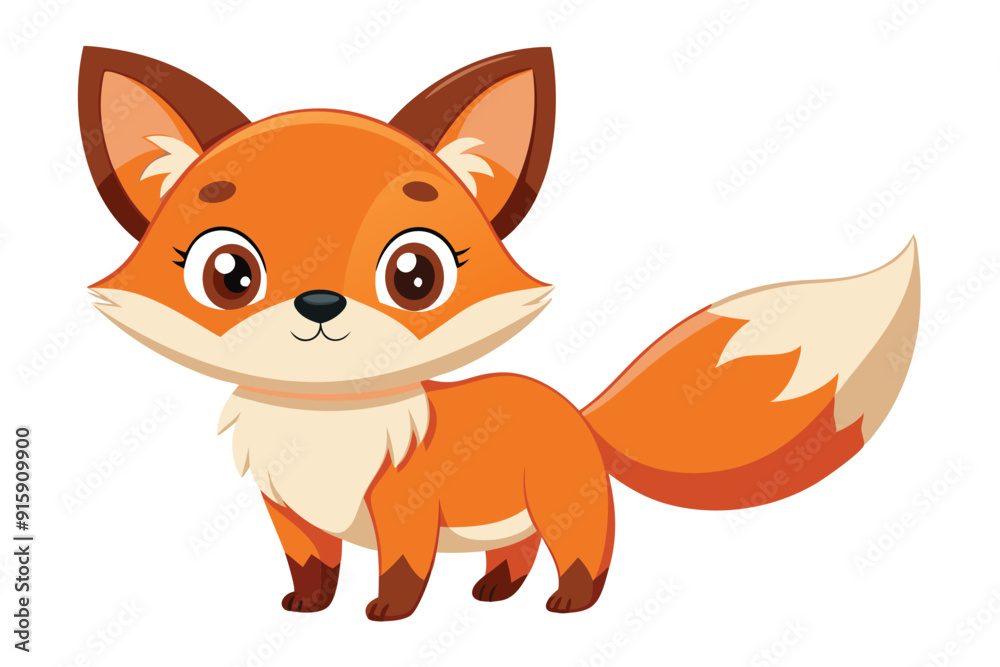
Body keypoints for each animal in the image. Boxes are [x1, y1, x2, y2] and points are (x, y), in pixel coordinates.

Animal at [80, 46, 920, 621]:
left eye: (415, 274)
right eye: (229, 273)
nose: (320, 303)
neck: (326, 425)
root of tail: (575, 411)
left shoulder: (405, 510)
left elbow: (403, 569)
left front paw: (387, 616)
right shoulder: (291, 515)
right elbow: (312, 568)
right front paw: (308, 609)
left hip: (563, 503)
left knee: (587, 550)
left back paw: (570, 604)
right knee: (516, 550)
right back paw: (494, 591)